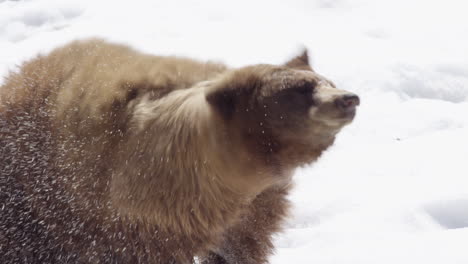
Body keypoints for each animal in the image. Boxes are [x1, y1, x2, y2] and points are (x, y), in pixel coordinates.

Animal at [0, 39, 358, 264]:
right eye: (301, 88)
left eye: (326, 80)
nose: (348, 98)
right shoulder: (110, 227)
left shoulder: (251, 212)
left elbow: (240, 247)